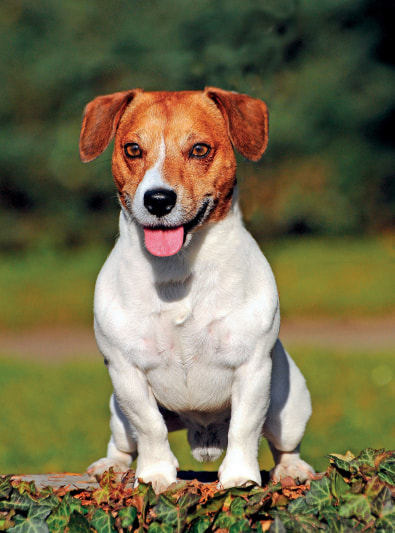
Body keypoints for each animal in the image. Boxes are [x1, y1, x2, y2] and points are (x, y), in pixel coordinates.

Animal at [79, 86, 316, 490]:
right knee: (124, 441)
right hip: (117, 413)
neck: (178, 271)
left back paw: (291, 469)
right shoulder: (126, 372)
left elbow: (244, 428)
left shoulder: (253, 368)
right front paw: (156, 475)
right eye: (132, 149)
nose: (158, 199)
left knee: (283, 443)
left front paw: (239, 478)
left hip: (290, 406)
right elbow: (150, 427)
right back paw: (111, 465)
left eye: (200, 149)